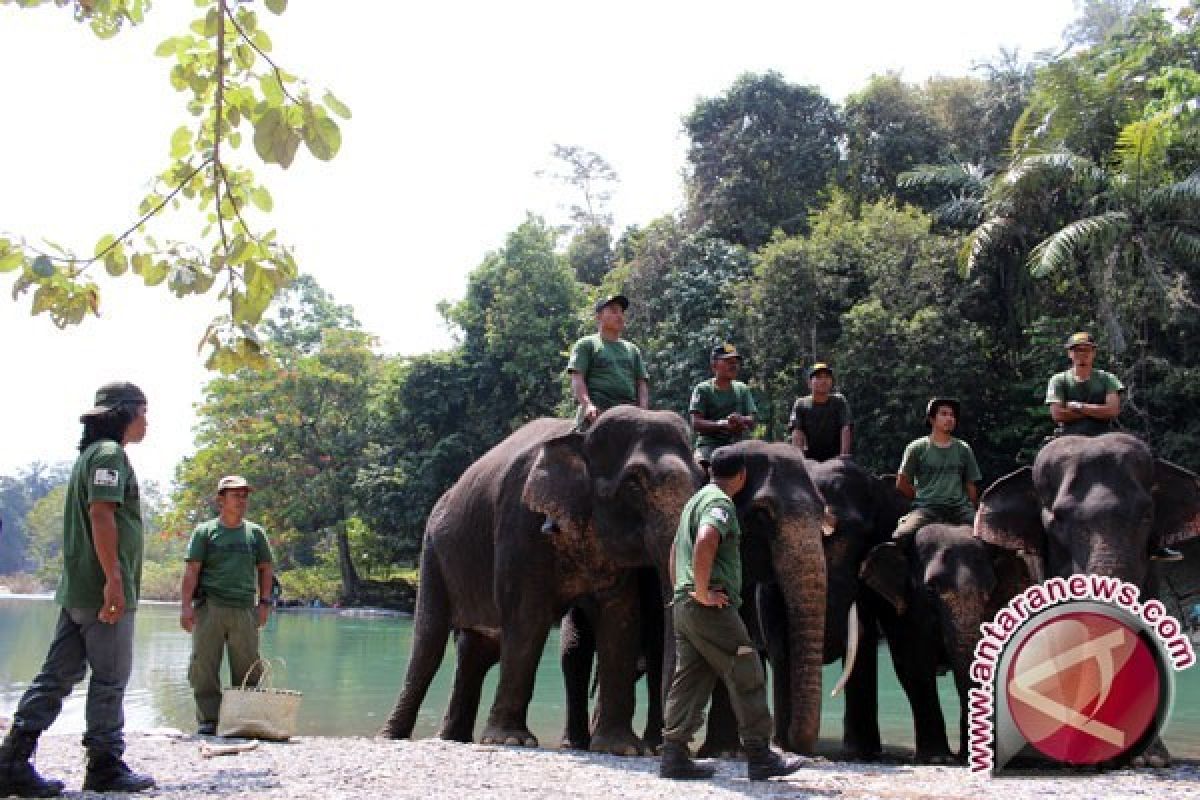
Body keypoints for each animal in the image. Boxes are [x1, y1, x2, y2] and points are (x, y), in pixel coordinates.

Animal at [381, 407, 700, 758]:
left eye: (703, 477)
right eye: (633, 484)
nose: (664, 748)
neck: (581, 440)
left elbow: (620, 620)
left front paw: (622, 749)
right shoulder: (521, 522)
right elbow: (527, 618)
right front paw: (510, 741)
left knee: (477, 648)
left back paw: (453, 738)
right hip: (433, 552)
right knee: (430, 643)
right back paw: (391, 737)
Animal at [864, 525, 1032, 762]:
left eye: (991, 590)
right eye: (930, 590)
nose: (965, 756)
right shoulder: (906, 616)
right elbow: (917, 666)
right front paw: (937, 759)